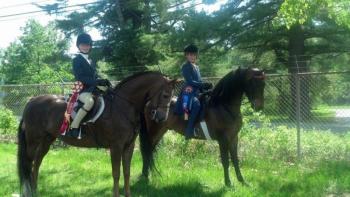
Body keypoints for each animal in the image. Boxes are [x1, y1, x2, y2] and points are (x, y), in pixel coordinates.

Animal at [17, 71, 178, 197]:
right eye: (165, 95)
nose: (162, 118)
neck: (123, 106)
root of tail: (32, 100)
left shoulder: (129, 146)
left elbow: (126, 172)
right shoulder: (116, 147)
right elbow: (116, 173)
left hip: (47, 139)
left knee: (37, 162)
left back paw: (35, 191)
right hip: (33, 140)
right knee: (28, 163)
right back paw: (28, 191)